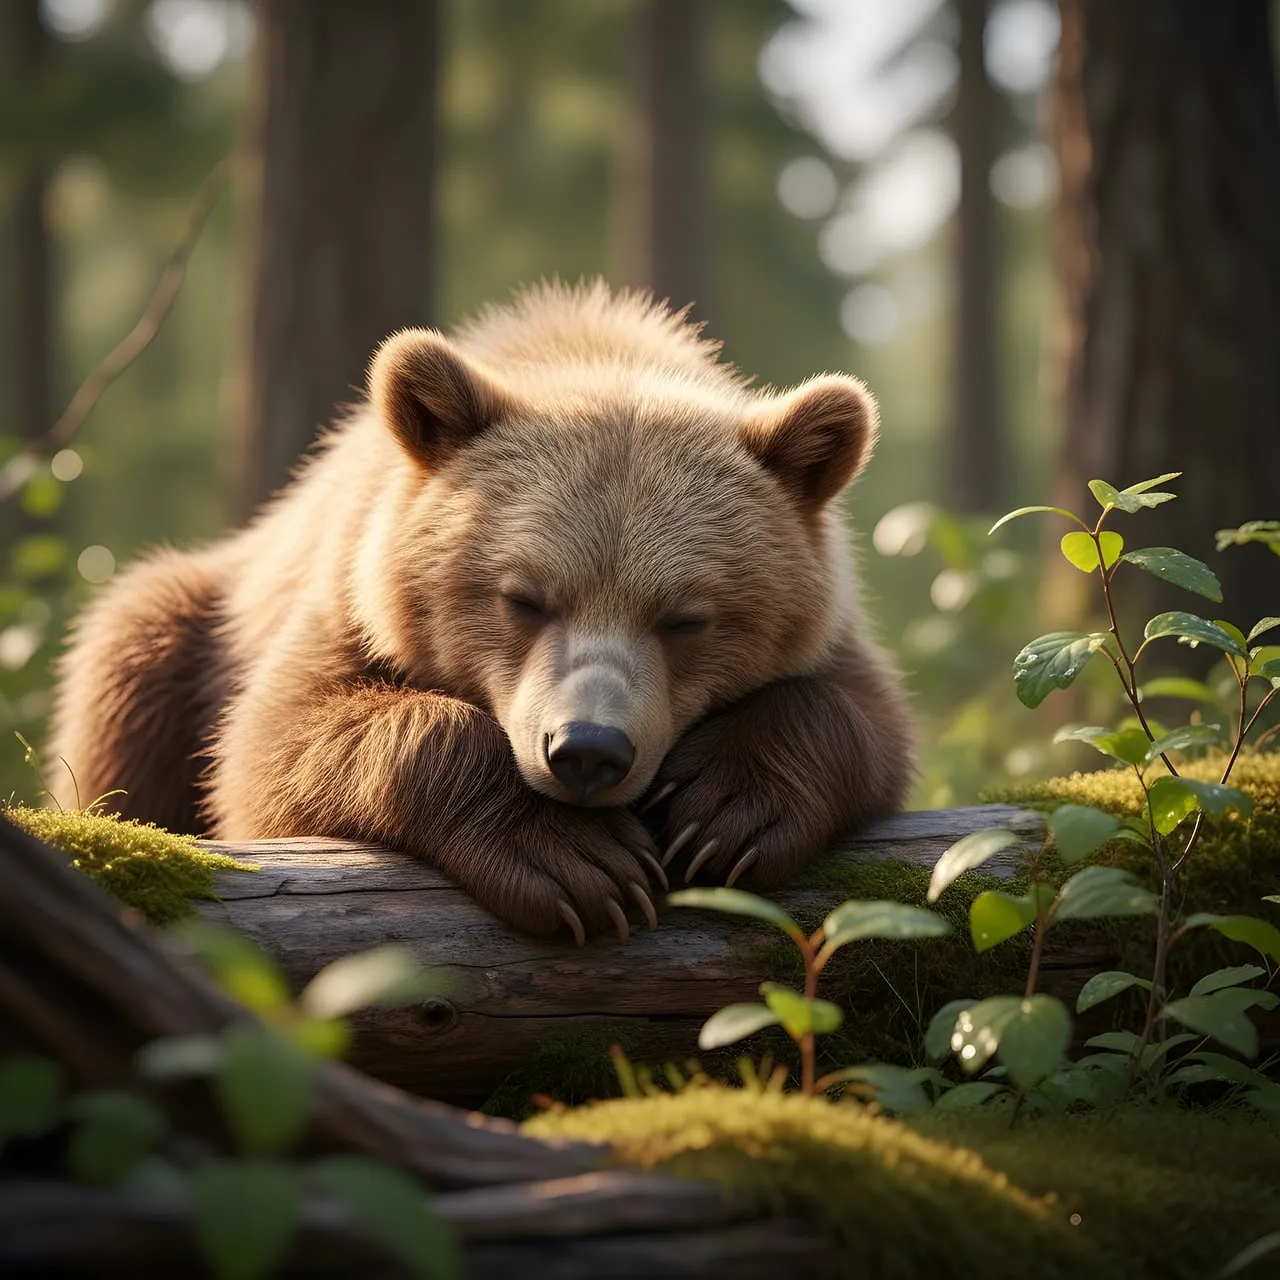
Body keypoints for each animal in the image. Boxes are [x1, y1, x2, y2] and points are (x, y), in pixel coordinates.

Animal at [47, 280, 914, 942]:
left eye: (686, 618)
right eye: (523, 597)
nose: (588, 750)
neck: (592, 352)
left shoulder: (833, 636)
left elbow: (865, 719)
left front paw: (725, 814)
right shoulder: (349, 601)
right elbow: (271, 748)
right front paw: (578, 863)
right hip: (193, 621)